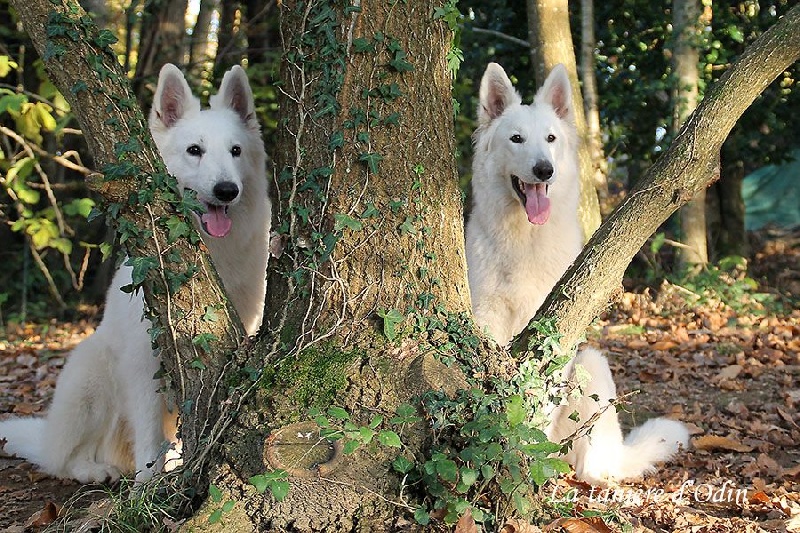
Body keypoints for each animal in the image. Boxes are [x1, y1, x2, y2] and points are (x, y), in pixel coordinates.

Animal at [0, 64, 271, 483]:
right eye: (195, 151)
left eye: (236, 151)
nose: (227, 190)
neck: (212, 253)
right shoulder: (144, 361)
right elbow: (148, 434)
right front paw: (148, 486)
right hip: (93, 376)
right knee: (64, 460)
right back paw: (96, 470)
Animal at [465, 62, 688, 485]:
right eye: (516, 139)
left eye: (551, 138)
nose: (544, 169)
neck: (525, 239)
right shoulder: (487, 321)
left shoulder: (557, 333)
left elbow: (538, 399)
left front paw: (523, 454)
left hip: (591, 364)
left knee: (588, 461)